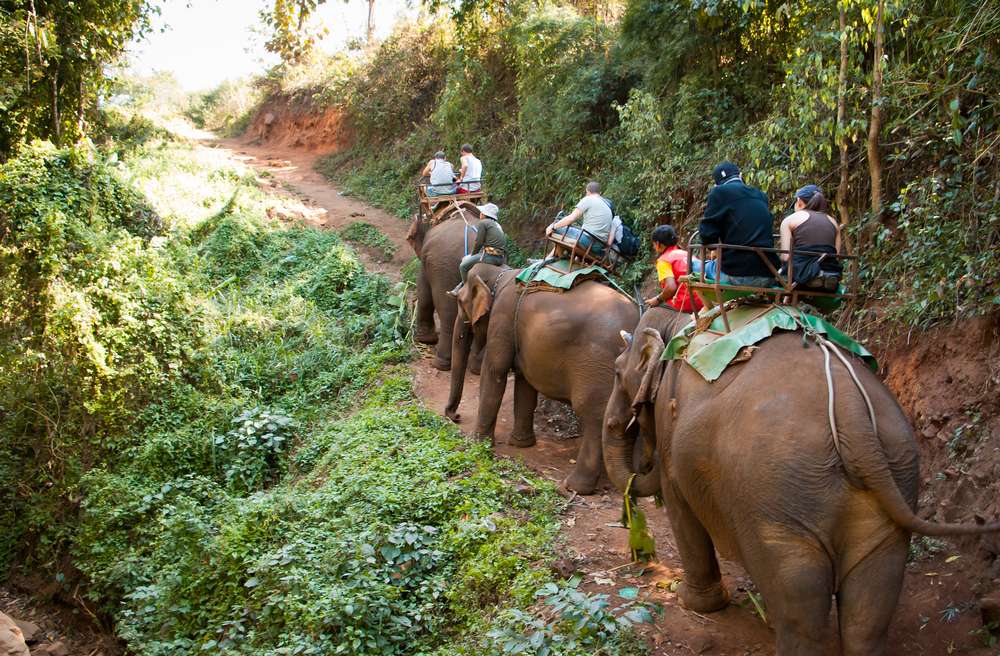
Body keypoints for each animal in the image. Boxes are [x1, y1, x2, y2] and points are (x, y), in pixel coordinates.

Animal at [406, 208, 481, 371]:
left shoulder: (427, 259)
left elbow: (424, 292)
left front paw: (424, 340)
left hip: (444, 268)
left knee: (447, 313)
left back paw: (441, 363)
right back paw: (475, 367)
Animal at [450, 265, 639, 494]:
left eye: (460, 302)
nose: (456, 416)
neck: (500, 273)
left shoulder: (502, 316)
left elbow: (495, 370)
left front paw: (477, 444)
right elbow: (524, 382)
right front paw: (521, 444)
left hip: (598, 366)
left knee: (594, 415)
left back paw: (574, 487)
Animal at [603, 306, 1000, 656]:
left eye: (618, 372)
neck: (677, 322)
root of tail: (852, 415)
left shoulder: (672, 446)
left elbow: (681, 509)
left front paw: (693, 602)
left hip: (778, 498)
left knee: (800, 610)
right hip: (892, 480)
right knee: (869, 610)